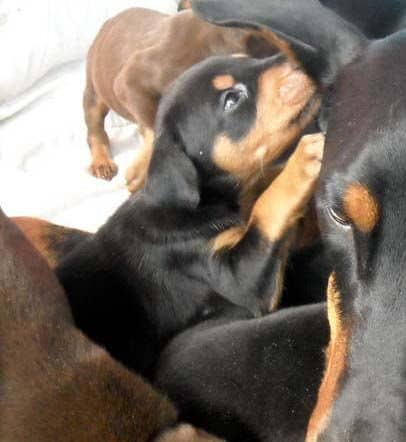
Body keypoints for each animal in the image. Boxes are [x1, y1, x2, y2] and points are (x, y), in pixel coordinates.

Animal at [15, 51, 322, 376]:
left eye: (247, 58)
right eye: (232, 99)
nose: (304, 57)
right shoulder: (235, 277)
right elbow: (267, 206)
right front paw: (305, 155)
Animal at [85, 6, 276, 190]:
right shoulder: (129, 81)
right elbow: (156, 124)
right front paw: (142, 170)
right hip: (93, 92)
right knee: (95, 128)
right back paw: (101, 162)